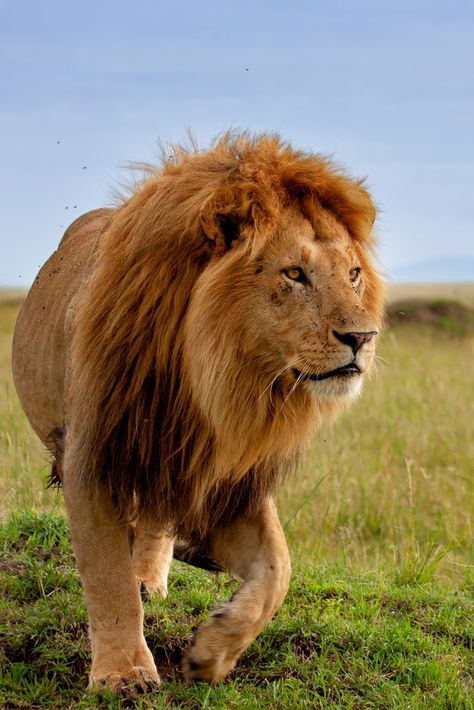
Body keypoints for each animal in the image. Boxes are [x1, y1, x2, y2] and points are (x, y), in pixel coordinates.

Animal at [12, 134, 382, 696]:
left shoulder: (229, 480)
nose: (362, 338)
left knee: (157, 525)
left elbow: (279, 569)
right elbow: (107, 577)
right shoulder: (94, 458)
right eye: (294, 273)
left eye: (354, 274)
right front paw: (124, 675)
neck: (214, 383)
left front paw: (213, 651)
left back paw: (156, 574)